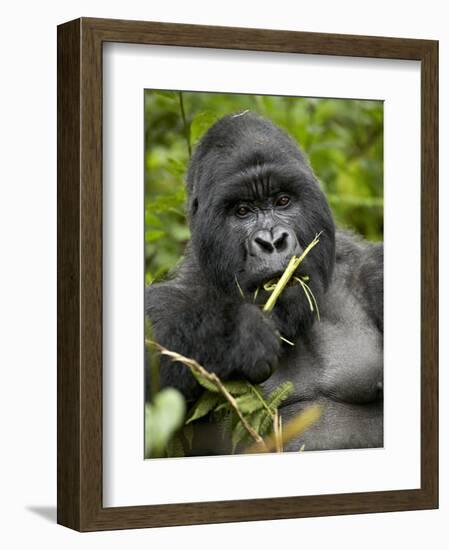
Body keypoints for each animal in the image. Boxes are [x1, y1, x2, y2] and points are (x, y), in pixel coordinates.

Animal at [145, 111, 384, 452]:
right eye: (243, 211)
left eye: (282, 201)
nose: (272, 241)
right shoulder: (182, 288)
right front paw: (236, 333)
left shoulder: (372, 270)